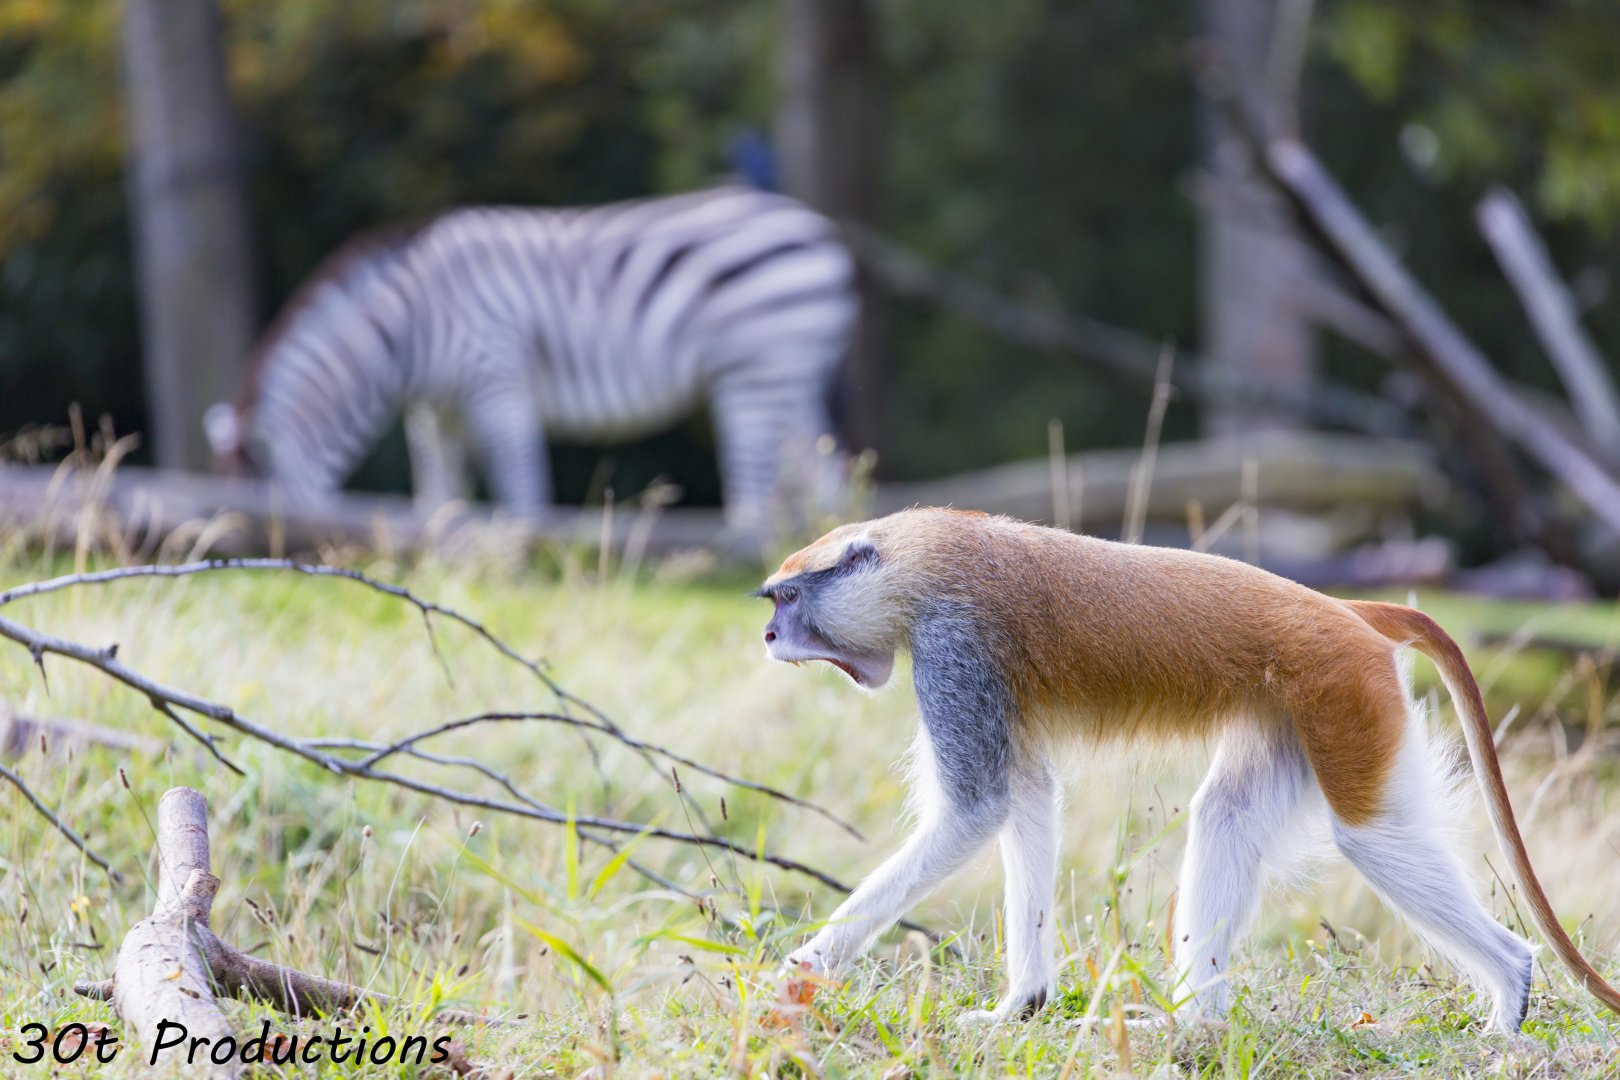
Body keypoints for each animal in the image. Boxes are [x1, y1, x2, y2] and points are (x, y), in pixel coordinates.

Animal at [206, 186, 859, 535]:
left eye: (256, 516)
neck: (410, 331)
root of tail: (820, 232)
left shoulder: (496, 379)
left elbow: (521, 486)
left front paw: (528, 560)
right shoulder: (436, 412)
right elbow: (437, 494)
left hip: (753, 371)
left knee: (755, 483)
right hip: (790, 376)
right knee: (825, 472)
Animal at [755, 507, 1620, 1032]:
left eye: (785, 596)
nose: (767, 634)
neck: (915, 558)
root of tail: (1349, 611)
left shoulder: (954, 645)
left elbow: (975, 810)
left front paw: (799, 971)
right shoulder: (983, 677)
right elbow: (1026, 796)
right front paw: (1019, 1007)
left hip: (1344, 695)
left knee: (1374, 840)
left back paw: (1511, 986)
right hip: (1296, 708)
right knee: (1228, 815)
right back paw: (1193, 1026)